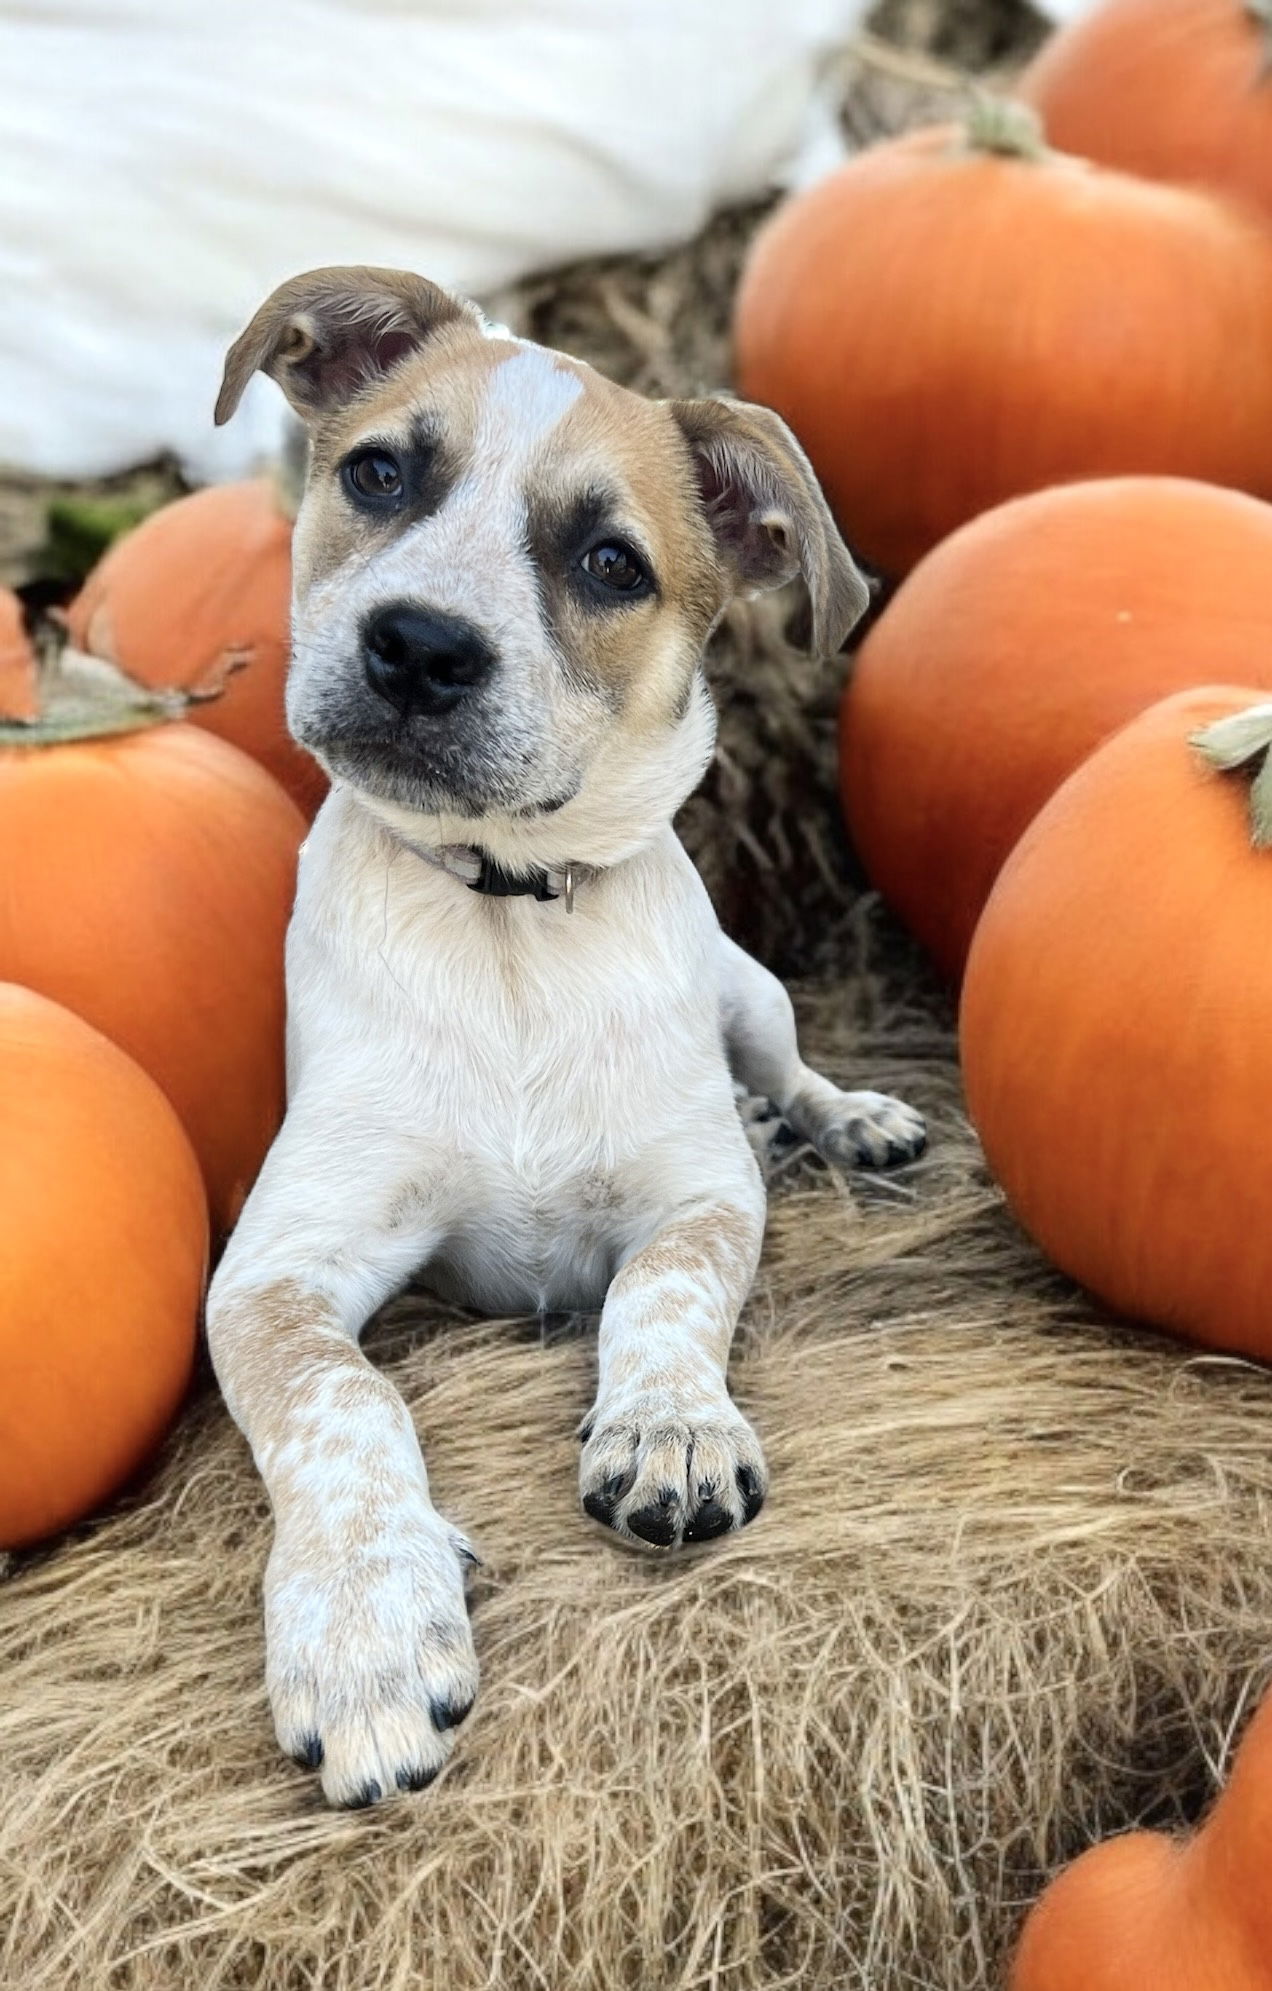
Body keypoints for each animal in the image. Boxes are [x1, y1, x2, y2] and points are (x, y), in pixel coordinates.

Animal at [207, 272, 923, 1815]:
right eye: (378, 473)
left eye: (608, 563)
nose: (417, 647)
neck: (509, 923)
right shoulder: (274, 1268)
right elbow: (342, 1400)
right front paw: (363, 1624)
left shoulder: (700, 1196)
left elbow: (660, 1290)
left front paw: (670, 1429)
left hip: (754, 990)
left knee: (782, 1067)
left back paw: (847, 1115)